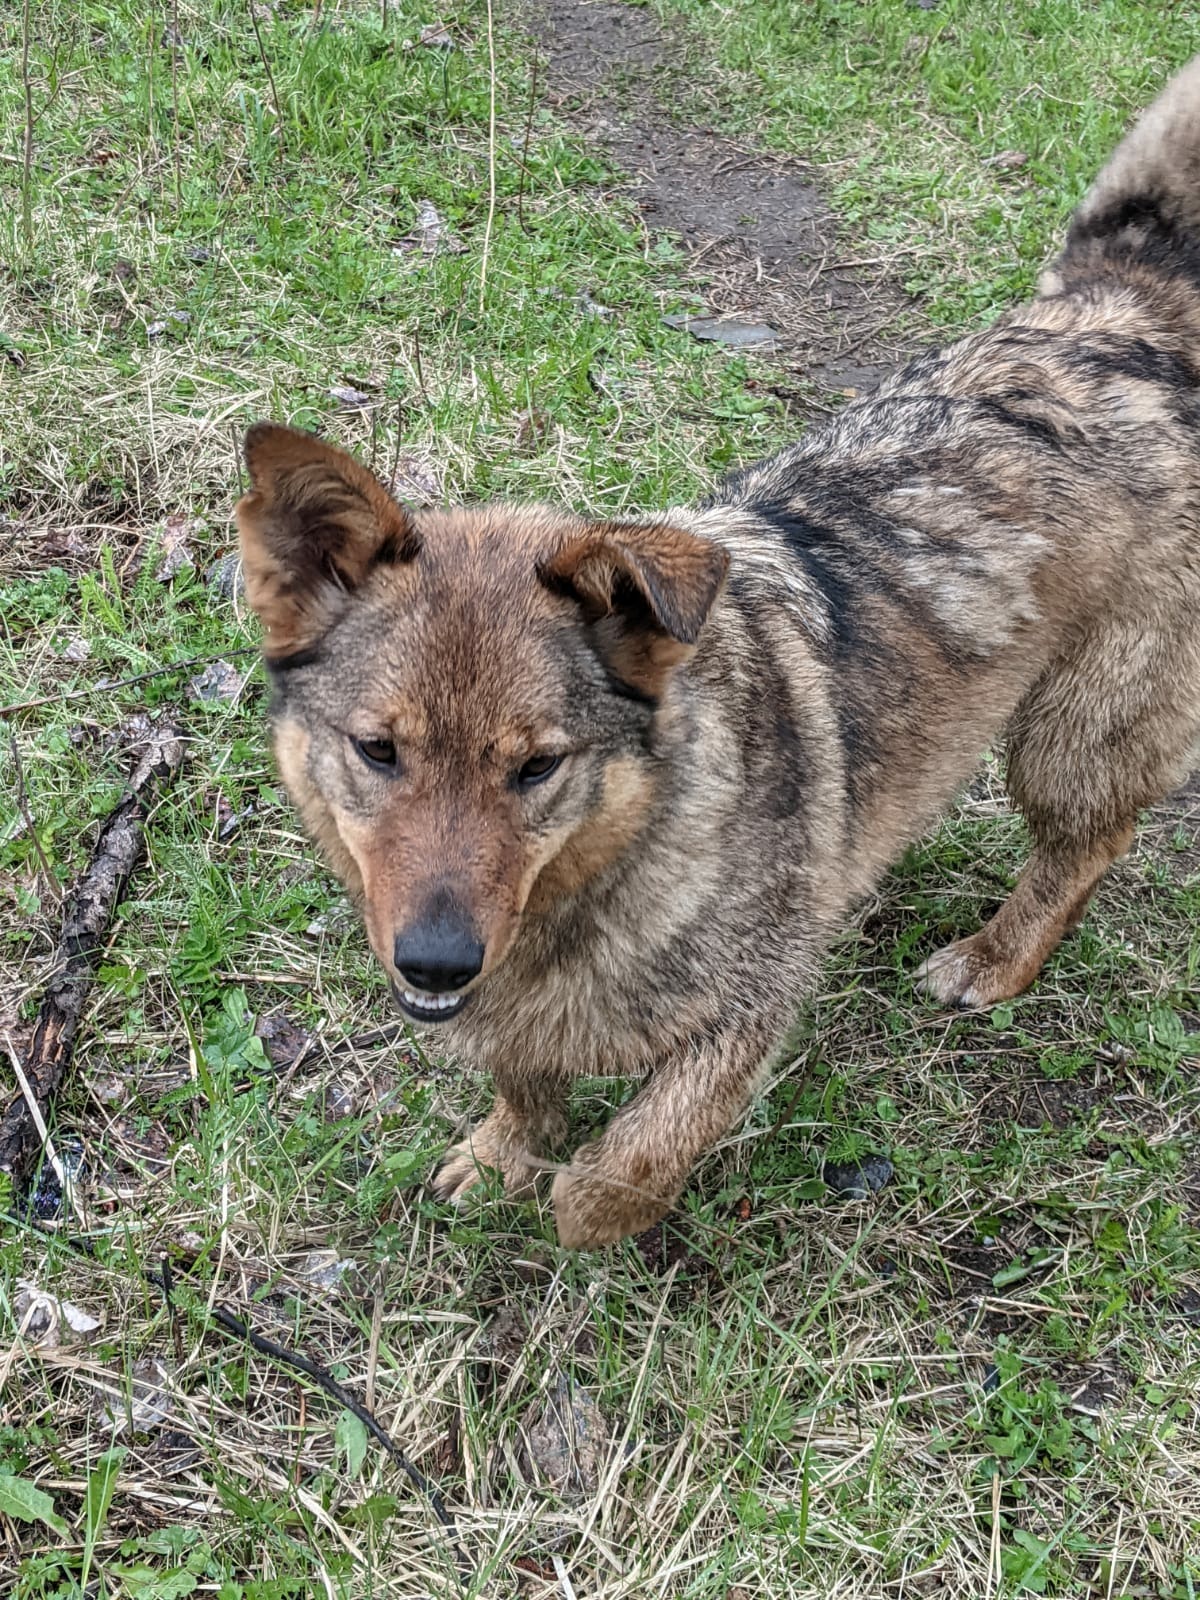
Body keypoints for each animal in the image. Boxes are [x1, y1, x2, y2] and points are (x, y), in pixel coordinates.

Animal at [235, 56, 1200, 1241]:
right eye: (378, 751)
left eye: (537, 767)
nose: (435, 959)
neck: (612, 862)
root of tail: (1129, 307)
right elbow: (524, 1077)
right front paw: (509, 1150)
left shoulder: (747, 1010)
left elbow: (628, 1164)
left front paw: (577, 1203)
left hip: (1076, 734)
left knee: (1088, 846)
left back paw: (997, 956)